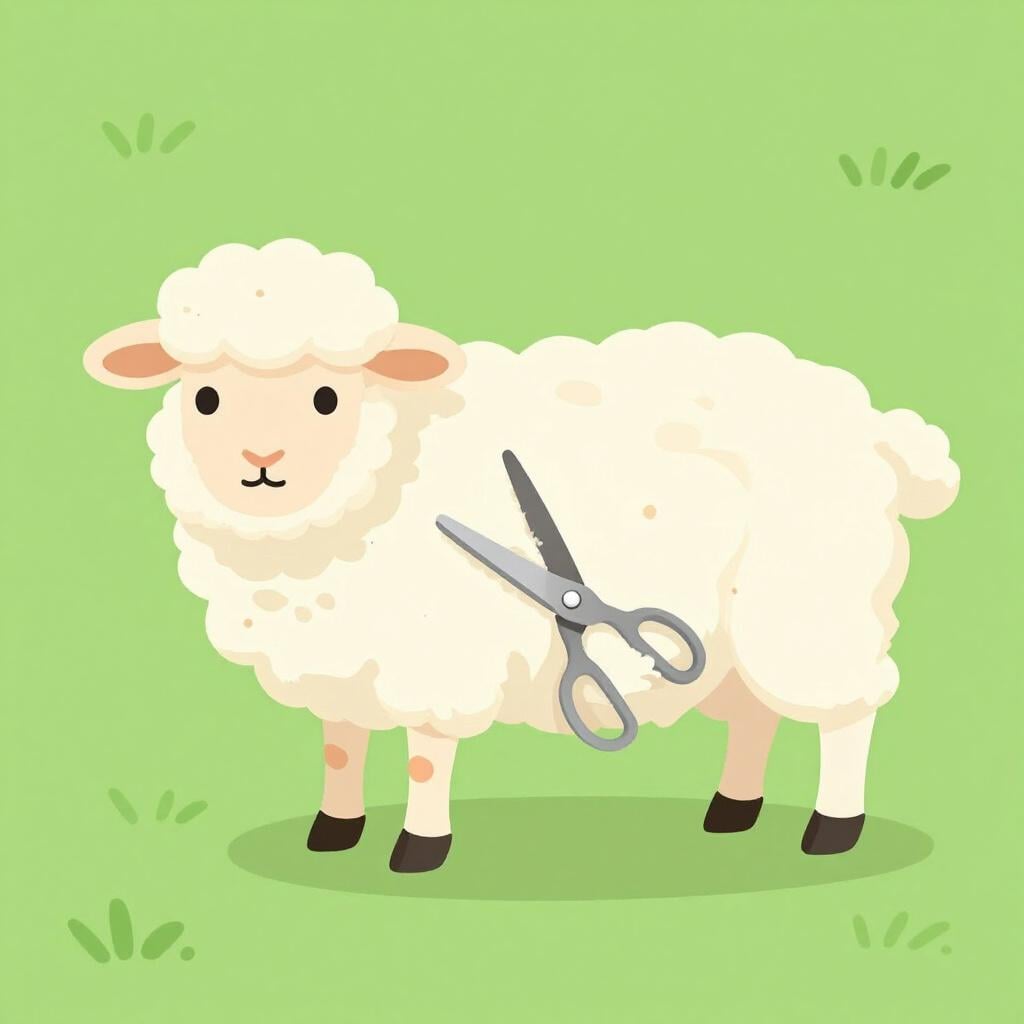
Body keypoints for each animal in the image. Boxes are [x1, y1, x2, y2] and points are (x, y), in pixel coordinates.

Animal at [84, 238, 960, 873]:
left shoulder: (434, 658)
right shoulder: (341, 654)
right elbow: (341, 744)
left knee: (848, 715)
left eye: (327, 397)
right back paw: (732, 809)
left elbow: (427, 761)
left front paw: (418, 848)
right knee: (755, 714)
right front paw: (334, 828)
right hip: (744, 629)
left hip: (813, 608)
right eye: (204, 396)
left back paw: (832, 828)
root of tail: (882, 429)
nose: (261, 462)